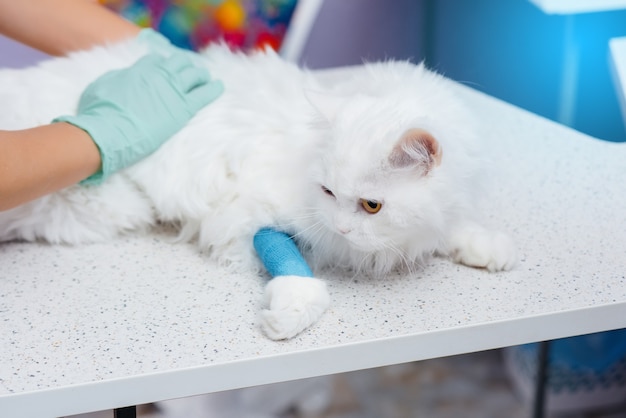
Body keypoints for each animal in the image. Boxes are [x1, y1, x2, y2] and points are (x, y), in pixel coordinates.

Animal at [0, 38, 516, 340]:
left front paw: (488, 248)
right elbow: (301, 278)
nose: (343, 229)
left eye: (372, 205)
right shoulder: (257, 218)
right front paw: (287, 314)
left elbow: (453, 229)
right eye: (328, 193)